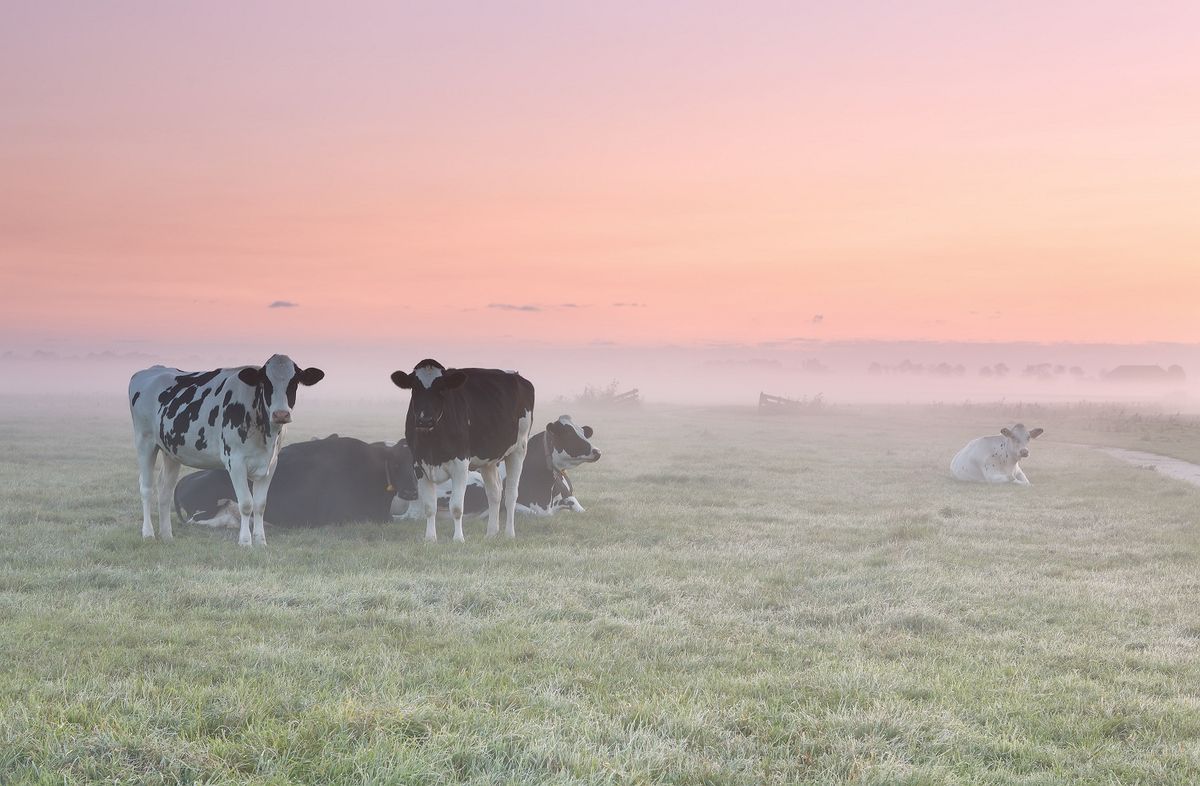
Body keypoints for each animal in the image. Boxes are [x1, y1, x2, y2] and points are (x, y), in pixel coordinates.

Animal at [128, 357, 324, 547]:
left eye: (294, 381)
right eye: (265, 382)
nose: (281, 414)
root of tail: (152, 370)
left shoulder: (270, 464)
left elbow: (260, 504)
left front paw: (261, 541)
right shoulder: (235, 462)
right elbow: (246, 504)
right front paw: (245, 542)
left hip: (171, 451)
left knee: (165, 490)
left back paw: (167, 535)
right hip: (145, 441)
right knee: (146, 487)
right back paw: (148, 533)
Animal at [388, 357, 535, 542]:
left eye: (442, 388)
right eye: (414, 387)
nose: (425, 420)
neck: (432, 443)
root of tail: (516, 375)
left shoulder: (460, 464)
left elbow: (457, 507)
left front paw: (458, 539)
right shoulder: (419, 465)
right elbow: (429, 506)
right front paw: (430, 539)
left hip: (519, 449)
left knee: (510, 495)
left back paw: (509, 534)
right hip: (487, 460)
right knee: (494, 493)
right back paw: (491, 533)